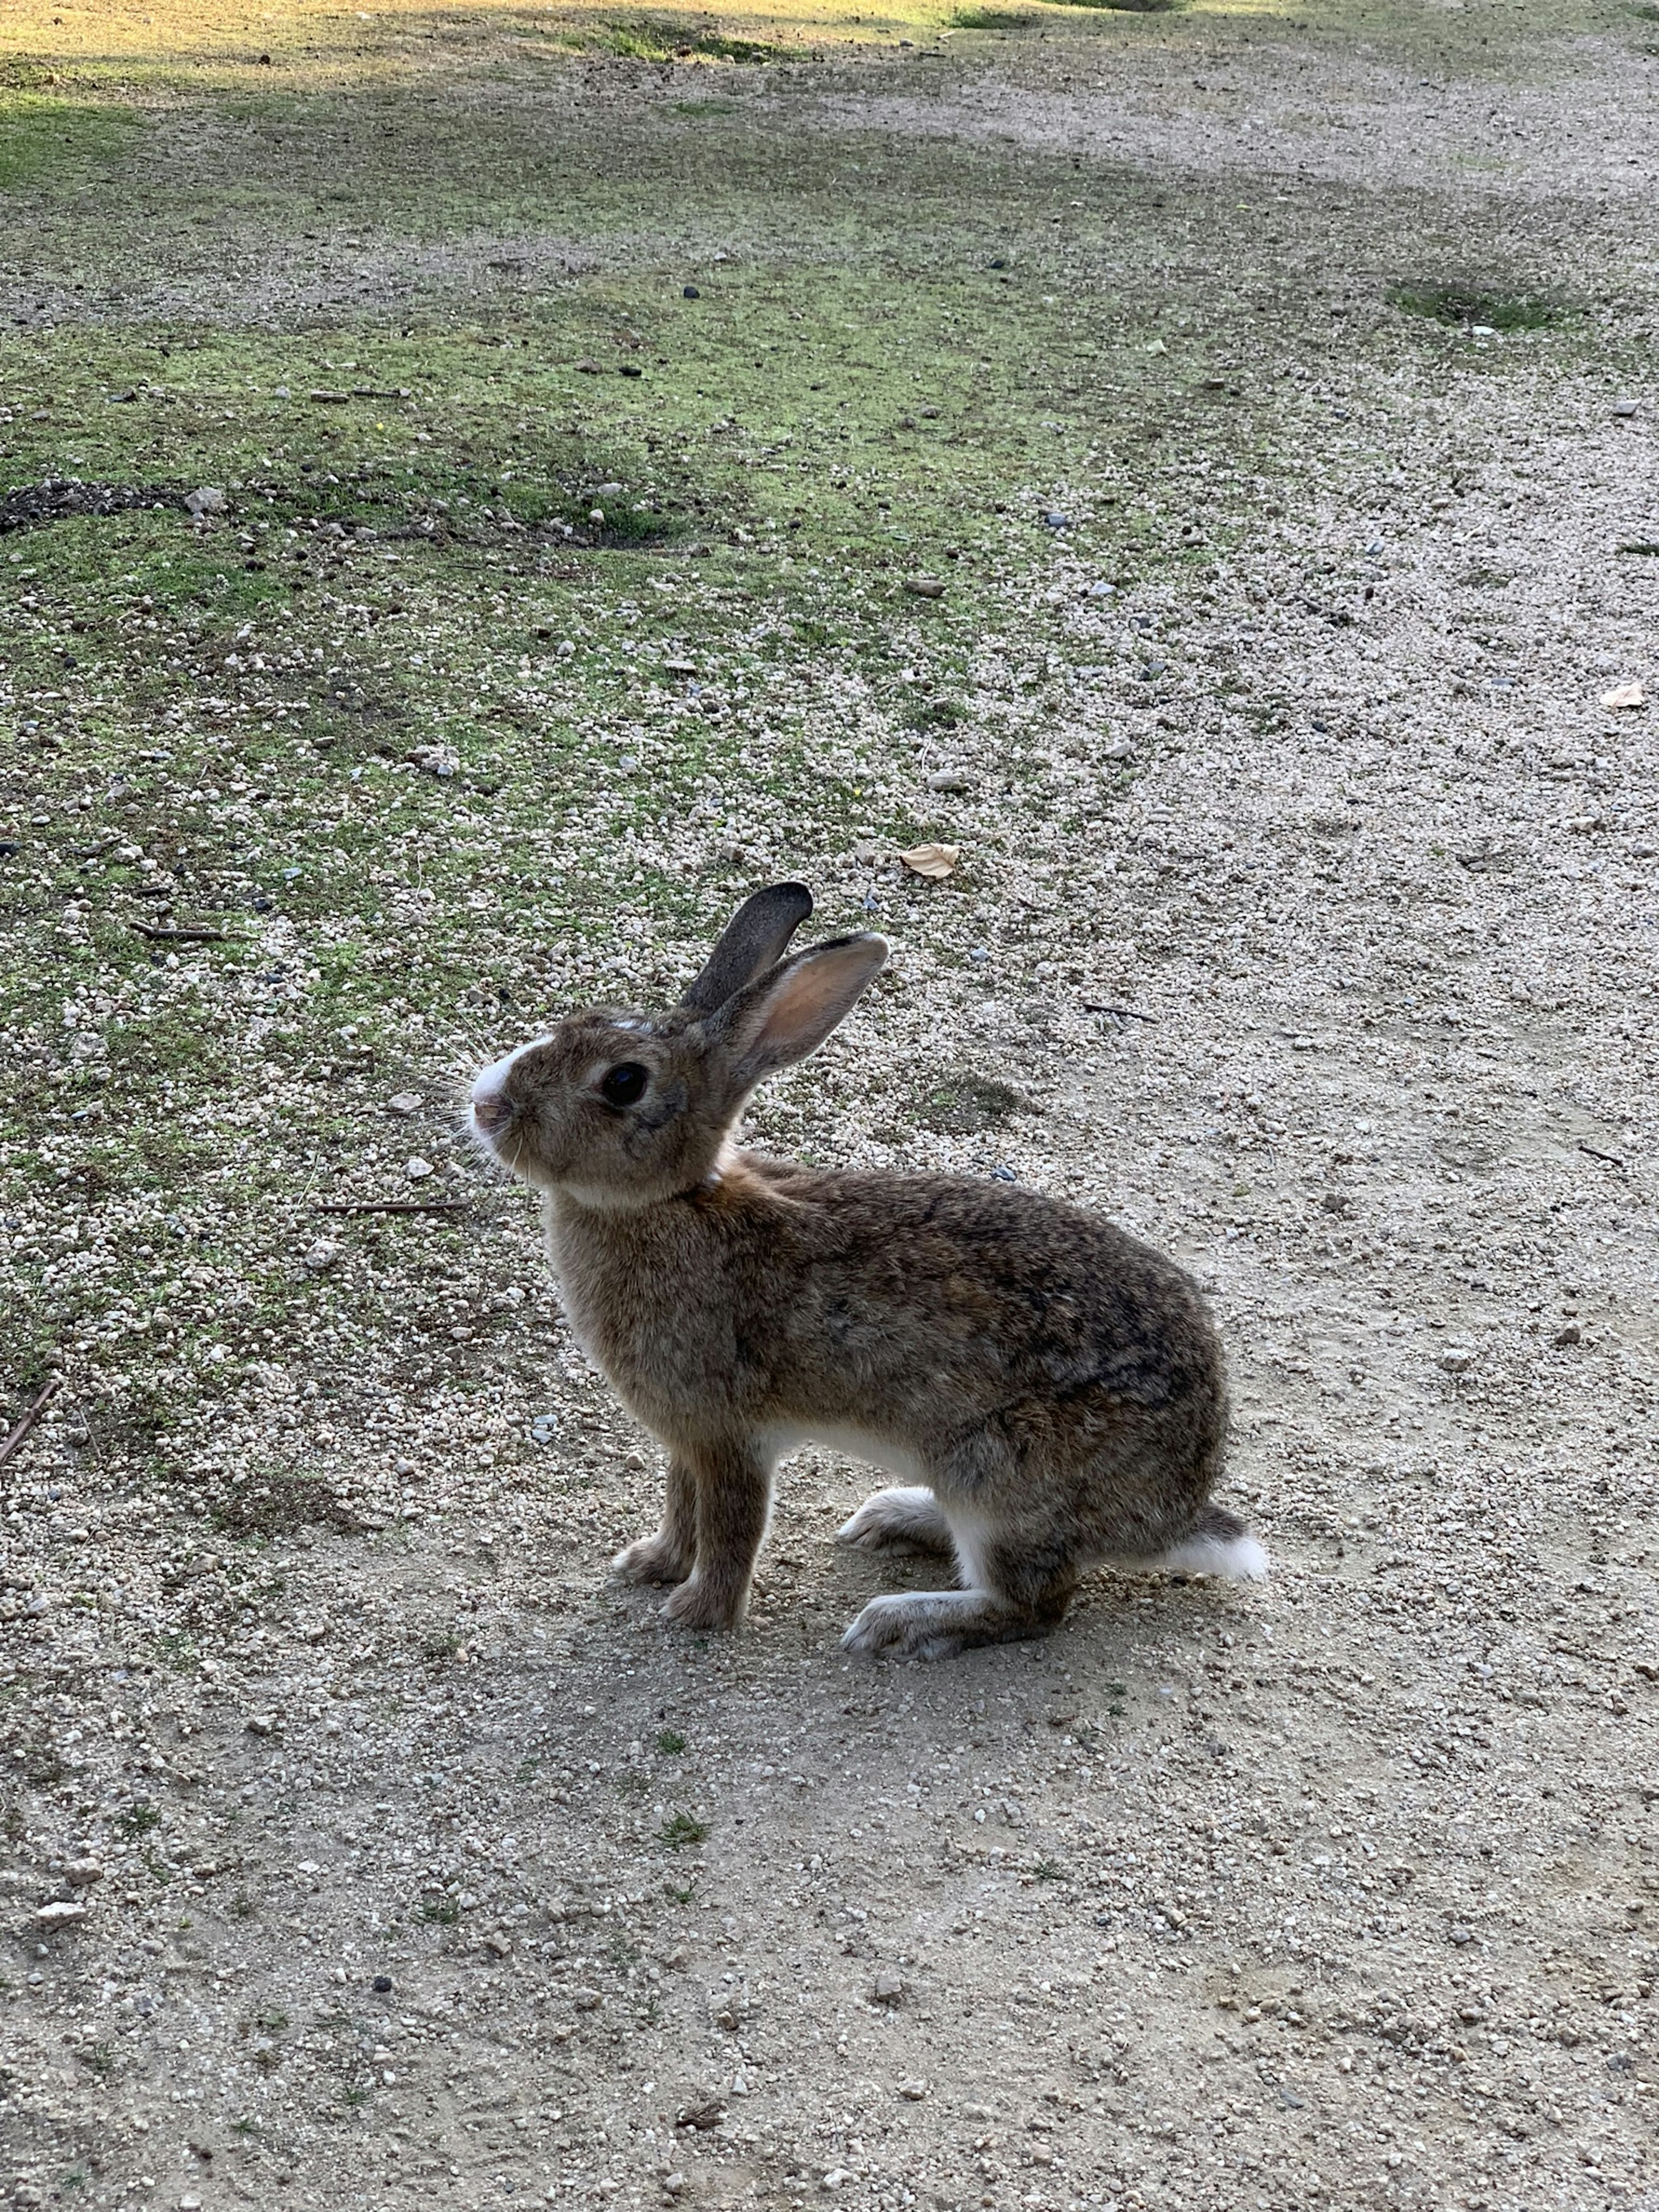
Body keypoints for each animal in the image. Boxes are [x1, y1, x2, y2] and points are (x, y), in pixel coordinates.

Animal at [462, 880, 1265, 1663]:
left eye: (624, 1082)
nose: (486, 1103)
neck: (673, 1201)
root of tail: (1173, 1511)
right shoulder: (687, 1440)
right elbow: (680, 1505)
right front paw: (650, 1564)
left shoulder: (728, 1436)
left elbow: (729, 1527)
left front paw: (696, 1613)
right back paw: (898, 1518)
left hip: (1004, 1475)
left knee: (1034, 1606)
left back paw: (902, 1622)